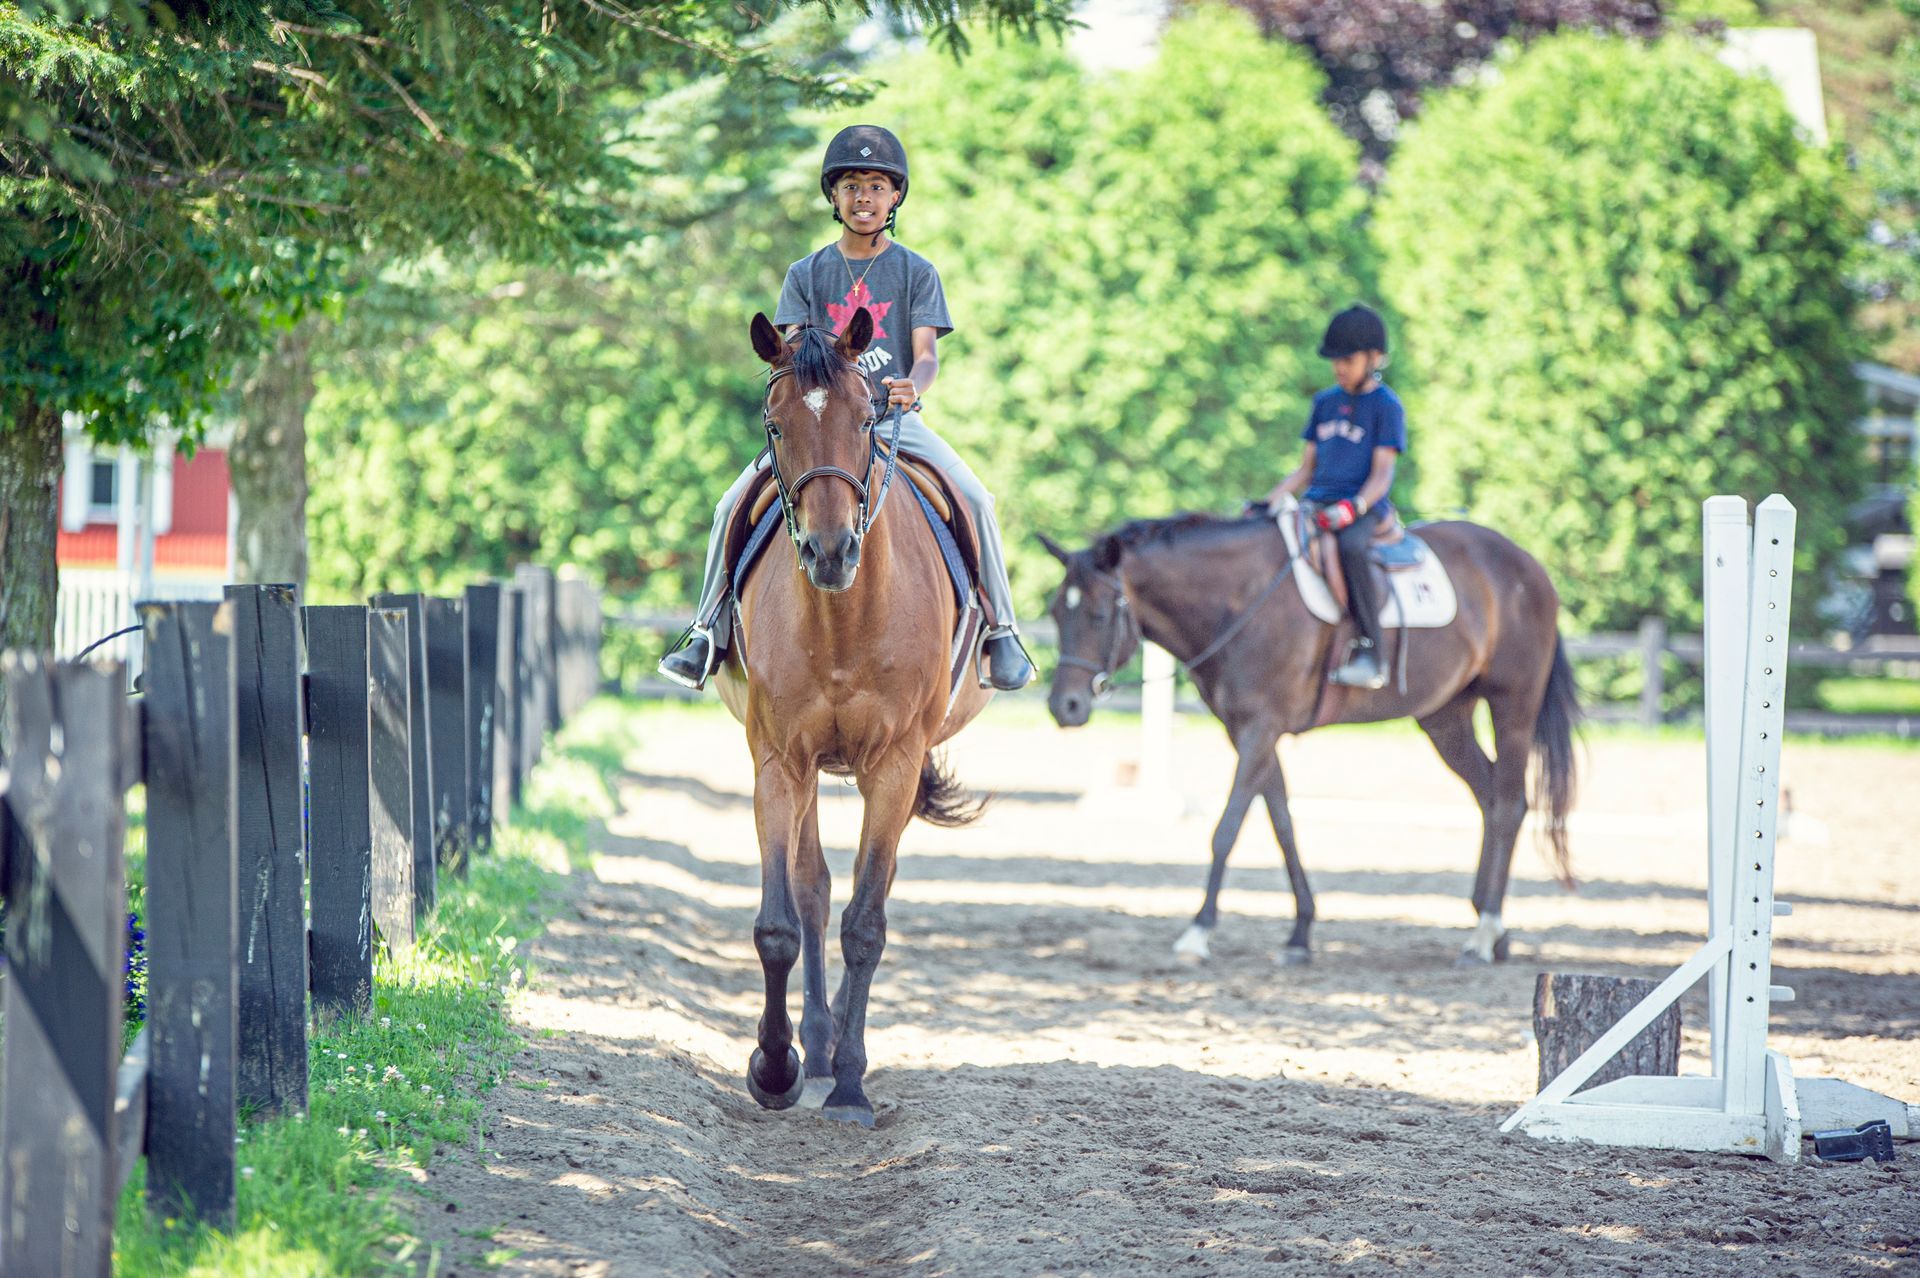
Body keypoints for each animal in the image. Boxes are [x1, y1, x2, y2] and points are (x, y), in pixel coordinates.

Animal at [718, 310, 990, 1128]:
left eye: (867, 420)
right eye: (776, 427)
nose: (831, 551)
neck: (843, 621)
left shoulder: (895, 765)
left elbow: (867, 925)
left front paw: (849, 1084)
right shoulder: (779, 760)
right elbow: (780, 922)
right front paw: (775, 1068)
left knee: (869, 890)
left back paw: (836, 1047)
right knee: (812, 888)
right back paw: (812, 1044)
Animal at [1044, 506, 1582, 955]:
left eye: (1097, 613)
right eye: (1054, 612)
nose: (1064, 706)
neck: (1240, 599)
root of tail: (1529, 566)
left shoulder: (1261, 728)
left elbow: (1227, 828)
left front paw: (1198, 932)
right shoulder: (1246, 731)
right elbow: (1282, 823)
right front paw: (1301, 930)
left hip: (1513, 705)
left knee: (1509, 804)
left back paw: (1487, 929)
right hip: (1445, 718)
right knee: (1489, 798)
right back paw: (1494, 927)